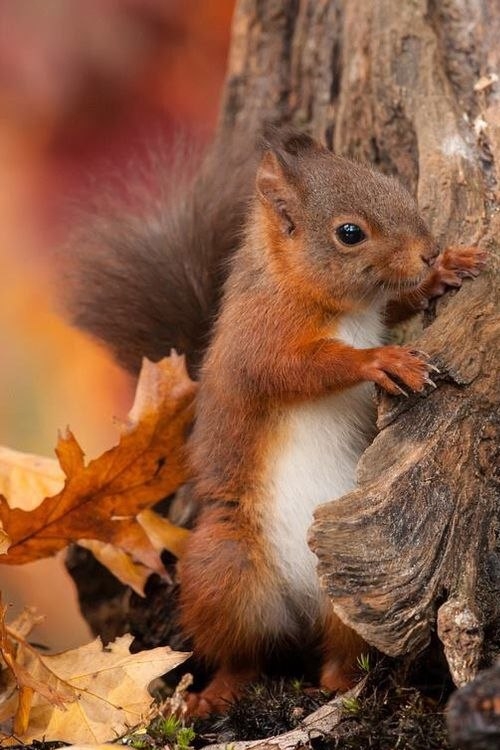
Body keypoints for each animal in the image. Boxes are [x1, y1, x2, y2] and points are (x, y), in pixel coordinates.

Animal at [64, 127, 485, 716]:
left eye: (394, 185)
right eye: (349, 233)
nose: (427, 252)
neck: (325, 298)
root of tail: (300, 608)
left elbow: (397, 306)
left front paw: (447, 271)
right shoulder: (258, 337)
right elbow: (296, 369)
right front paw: (380, 361)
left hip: (354, 584)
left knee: (337, 650)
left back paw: (336, 684)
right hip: (224, 570)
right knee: (241, 655)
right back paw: (216, 693)